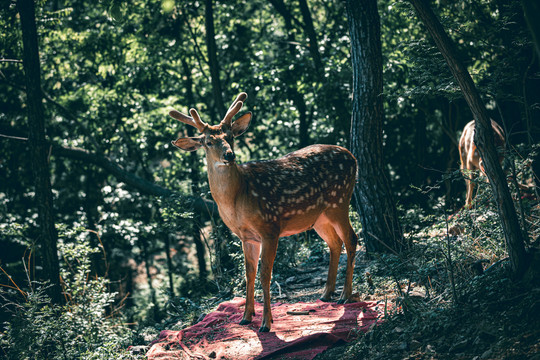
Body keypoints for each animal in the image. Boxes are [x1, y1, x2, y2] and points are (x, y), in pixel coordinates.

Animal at [169, 92, 358, 332]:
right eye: (208, 142)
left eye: (230, 136)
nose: (229, 155)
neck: (238, 198)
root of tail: (353, 156)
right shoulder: (246, 236)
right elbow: (249, 274)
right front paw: (246, 316)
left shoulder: (270, 227)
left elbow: (265, 274)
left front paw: (266, 323)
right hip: (319, 217)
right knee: (335, 242)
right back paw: (326, 293)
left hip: (339, 201)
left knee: (351, 238)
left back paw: (345, 295)